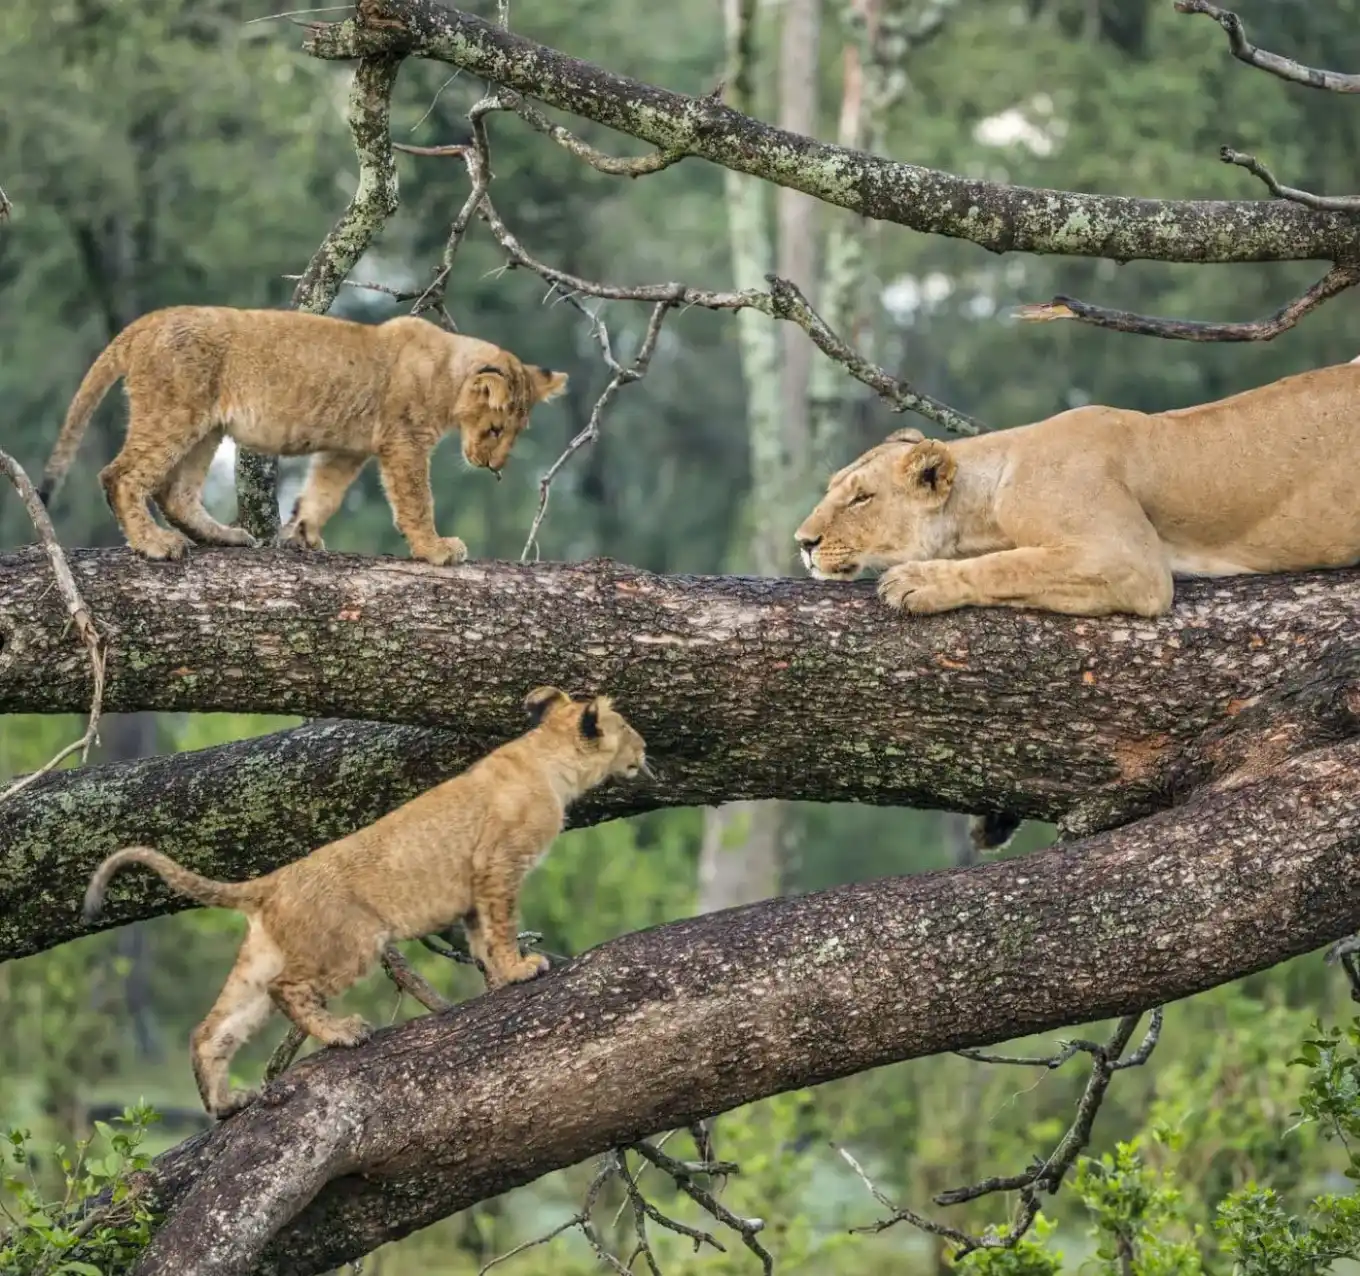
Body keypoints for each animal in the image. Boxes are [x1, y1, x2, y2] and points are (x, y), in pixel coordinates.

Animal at [38, 305, 568, 564]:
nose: (495, 468)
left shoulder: (347, 450)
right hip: (175, 412)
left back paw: (225, 536)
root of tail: (149, 320)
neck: (448, 369)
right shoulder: (403, 442)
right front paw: (436, 549)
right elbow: (417, 501)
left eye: (516, 434)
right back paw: (154, 544)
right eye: (495, 429)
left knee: (176, 493)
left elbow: (322, 494)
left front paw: (302, 536)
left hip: (205, 427)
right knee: (121, 475)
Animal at [81, 686, 648, 1119]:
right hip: (353, 942)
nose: (646, 749)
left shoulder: (473, 890)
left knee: (211, 1030)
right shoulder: (498, 866)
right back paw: (341, 1034)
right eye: (626, 726)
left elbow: (481, 939)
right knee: (288, 989)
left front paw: (497, 980)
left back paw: (225, 1103)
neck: (547, 757)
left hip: (260, 960)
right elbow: (502, 928)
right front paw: (521, 969)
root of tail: (273, 880)